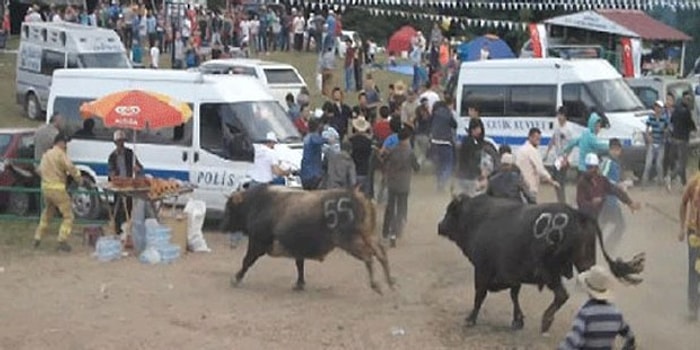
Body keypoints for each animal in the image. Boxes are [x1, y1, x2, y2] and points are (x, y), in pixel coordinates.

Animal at [220, 185, 394, 294]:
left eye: (229, 208)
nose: (222, 226)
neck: (258, 204)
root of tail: (357, 196)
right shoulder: (298, 247)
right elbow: (300, 264)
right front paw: (299, 284)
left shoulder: (258, 242)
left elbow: (247, 261)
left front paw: (235, 279)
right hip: (368, 236)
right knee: (381, 254)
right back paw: (390, 281)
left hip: (349, 241)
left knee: (369, 256)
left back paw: (376, 285)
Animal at [438, 194, 644, 334]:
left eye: (450, 211)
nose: (440, 226)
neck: (477, 218)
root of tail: (577, 213)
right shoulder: (513, 276)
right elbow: (514, 295)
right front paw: (517, 321)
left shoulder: (483, 270)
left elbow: (480, 294)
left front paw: (470, 319)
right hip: (585, 263)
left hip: (550, 272)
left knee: (562, 295)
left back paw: (546, 320)